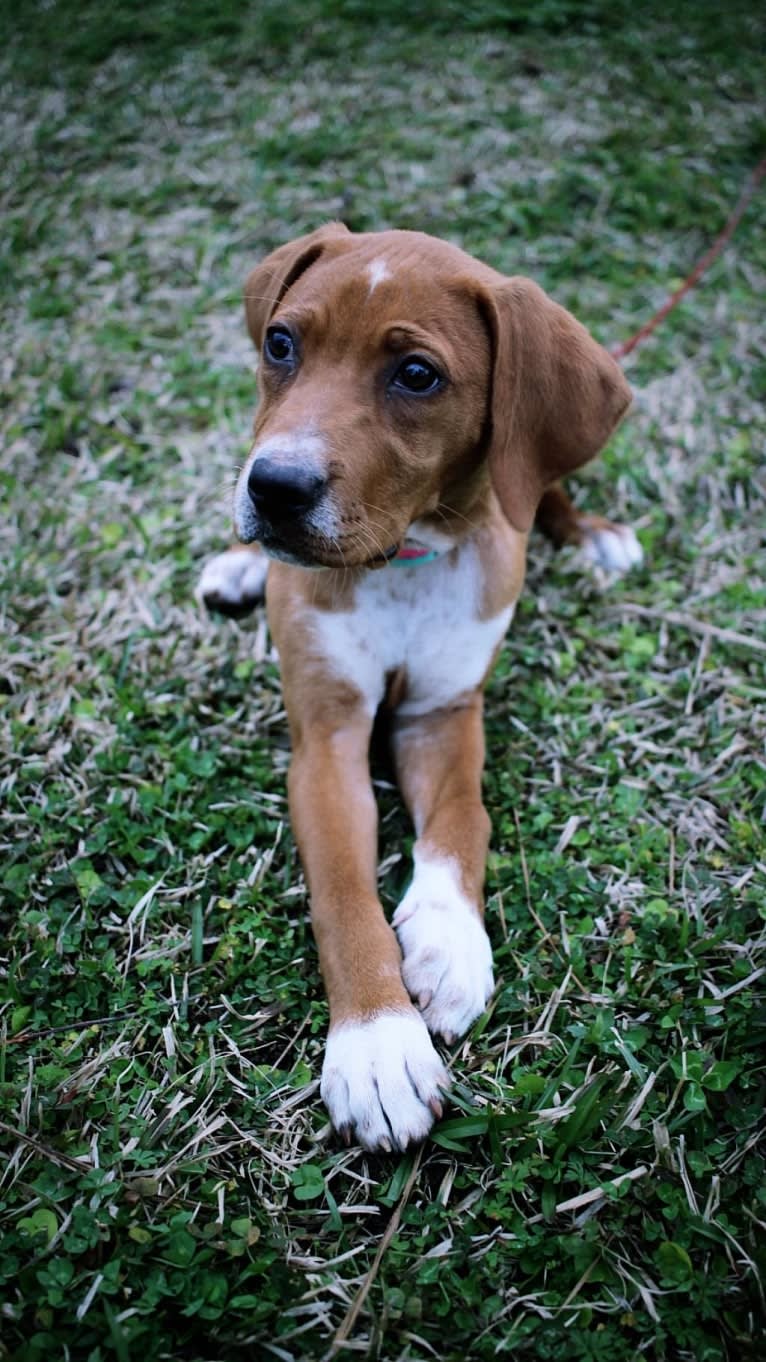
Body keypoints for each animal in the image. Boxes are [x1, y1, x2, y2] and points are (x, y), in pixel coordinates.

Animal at [196, 223, 637, 1149]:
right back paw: (241, 566)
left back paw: (591, 534)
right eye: (280, 345)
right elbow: (341, 891)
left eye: (417, 375)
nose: (273, 489)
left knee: (541, 482)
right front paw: (377, 1042)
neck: (398, 559)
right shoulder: (328, 737)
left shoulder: (443, 713)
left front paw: (447, 939)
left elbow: (466, 818)